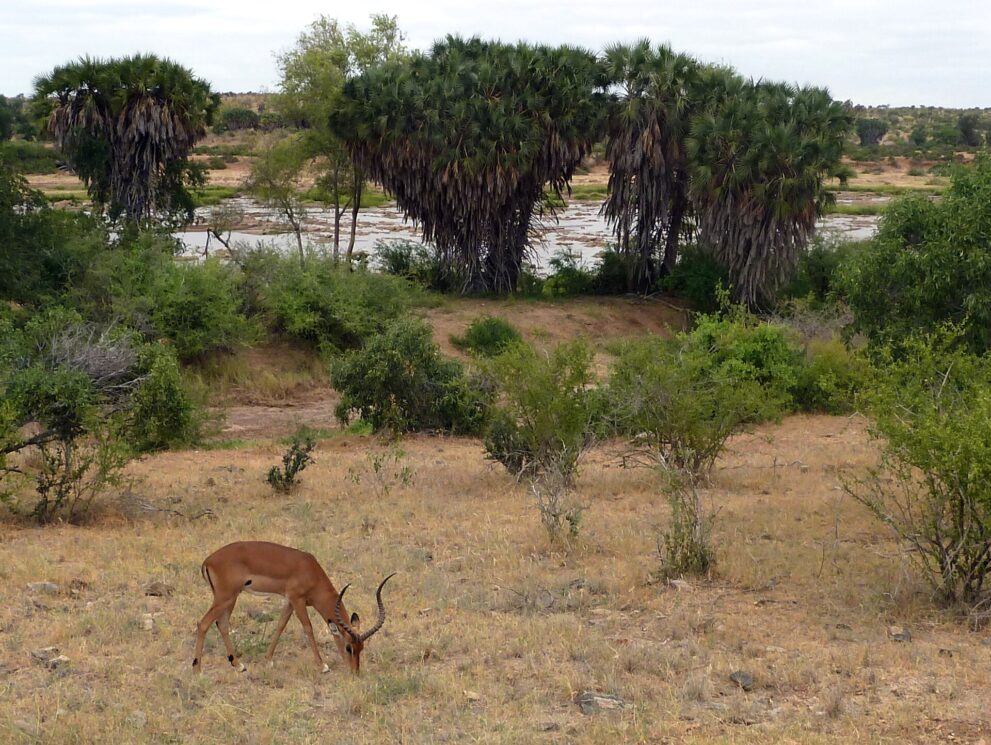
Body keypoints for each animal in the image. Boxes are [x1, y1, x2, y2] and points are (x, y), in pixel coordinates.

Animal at [192, 541, 395, 674]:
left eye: (362, 648)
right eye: (348, 647)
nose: (355, 672)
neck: (310, 571)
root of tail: (207, 561)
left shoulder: (289, 601)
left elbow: (280, 625)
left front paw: (268, 660)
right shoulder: (298, 600)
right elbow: (308, 628)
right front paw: (322, 666)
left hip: (230, 599)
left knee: (222, 624)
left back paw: (239, 665)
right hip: (225, 598)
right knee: (203, 623)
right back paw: (198, 669)